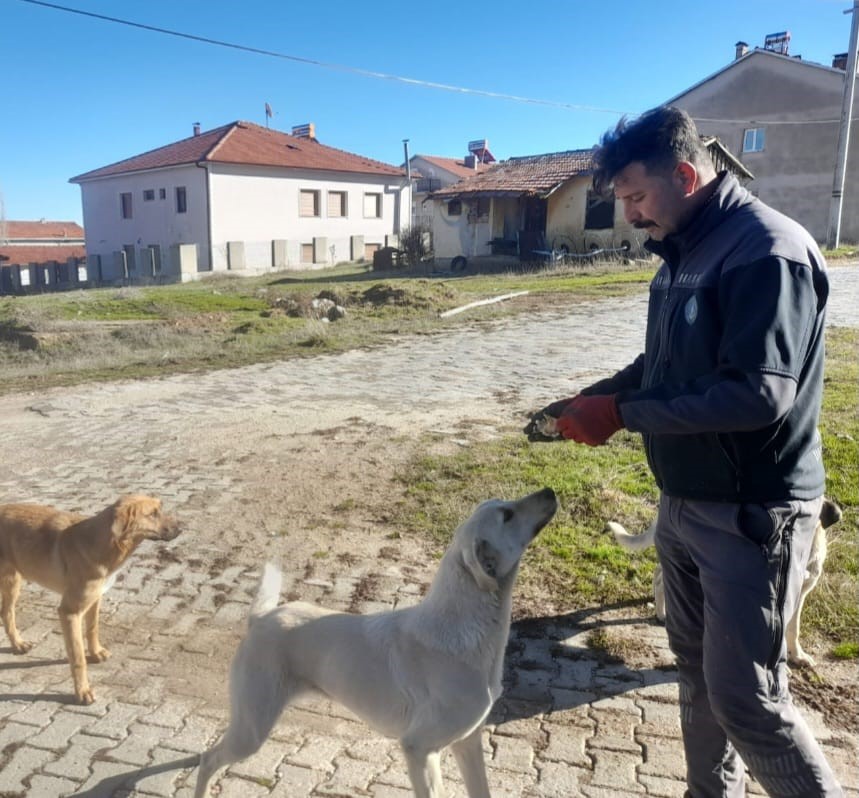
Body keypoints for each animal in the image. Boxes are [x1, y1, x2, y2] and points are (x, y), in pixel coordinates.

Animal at [0, 496, 180, 704]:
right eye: (152, 514)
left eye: (160, 508)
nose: (181, 528)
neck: (102, 545)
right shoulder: (69, 612)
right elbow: (78, 658)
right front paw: (82, 691)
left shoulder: (95, 600)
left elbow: (93, 629)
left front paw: (96, 653)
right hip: (11, 582)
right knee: (7, 613)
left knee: (5, 613)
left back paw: (17, 644)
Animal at [194, 488, 556, 798]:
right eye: (507, 515)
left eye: (504, 505)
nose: (550, 491)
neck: (465, 629)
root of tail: (262, 617)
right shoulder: (419, 749)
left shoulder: (468, 742)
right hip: (252, 730)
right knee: (207, 760)